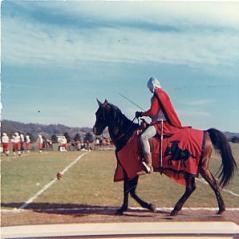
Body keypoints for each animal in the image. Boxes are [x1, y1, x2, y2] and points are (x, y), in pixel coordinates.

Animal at [92, 99, 236, 217]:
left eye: (100, 114)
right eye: (96, 113)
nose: (95, 130)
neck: (126, 134)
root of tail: (206, 133)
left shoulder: (133, 168)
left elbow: (131, 191)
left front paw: (150, 206)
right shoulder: (126, 168)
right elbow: (127, 189)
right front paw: (123, 208)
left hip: (192, 167)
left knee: (193, 187)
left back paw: (176, 209)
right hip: (200, 167)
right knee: (210, 184)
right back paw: (220, 209)